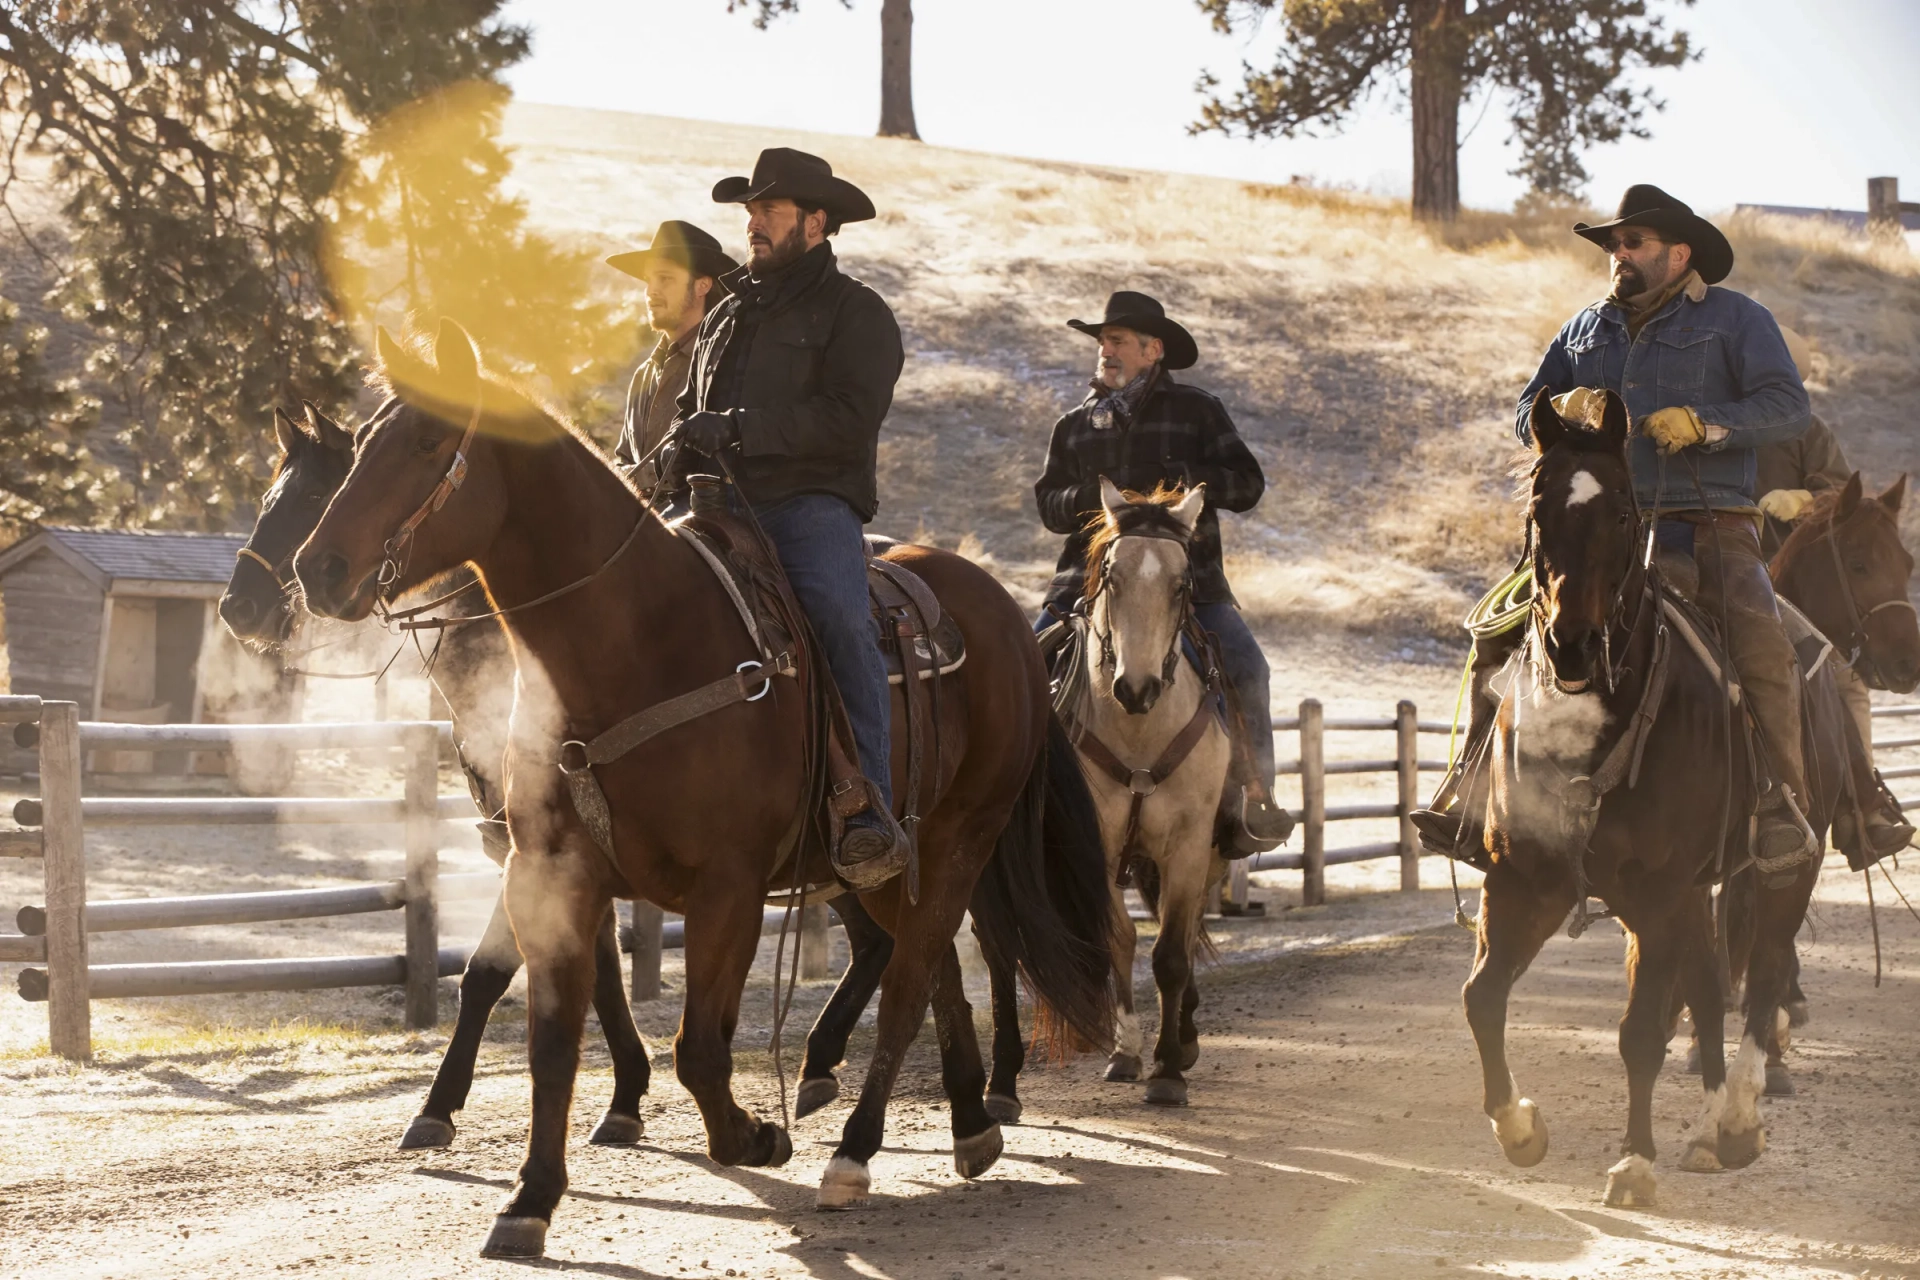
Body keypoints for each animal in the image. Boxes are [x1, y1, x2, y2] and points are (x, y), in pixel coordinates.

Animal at [293, 314, 1121, 1258]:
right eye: (363, 442)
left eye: (429, 442)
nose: (318, 569)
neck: (636, 642)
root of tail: (1010, 618)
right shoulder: (552, 876)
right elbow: (552, 1041)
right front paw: (529, 1198)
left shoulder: (727, 887)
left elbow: (699, 1047)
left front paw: (754, 1137)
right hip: (887, 864)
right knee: (932, 964)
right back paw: (970, 1125)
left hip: (960, 837)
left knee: (913, 979)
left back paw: (855, 1152)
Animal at [1459, 391, 1820, 1212]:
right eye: (1537, 507)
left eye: (1623, 511)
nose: (1571, 644)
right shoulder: (1524, 881)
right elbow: (1483, 997)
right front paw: (1519, 1128)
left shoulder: (1658, 893)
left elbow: (1640, 1032)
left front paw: (1633, 1163)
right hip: (1682, 897)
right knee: (1712, 984)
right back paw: (1711, 1129)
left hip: (1778, 869)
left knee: (1764, 976)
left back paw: (1738, 1117)